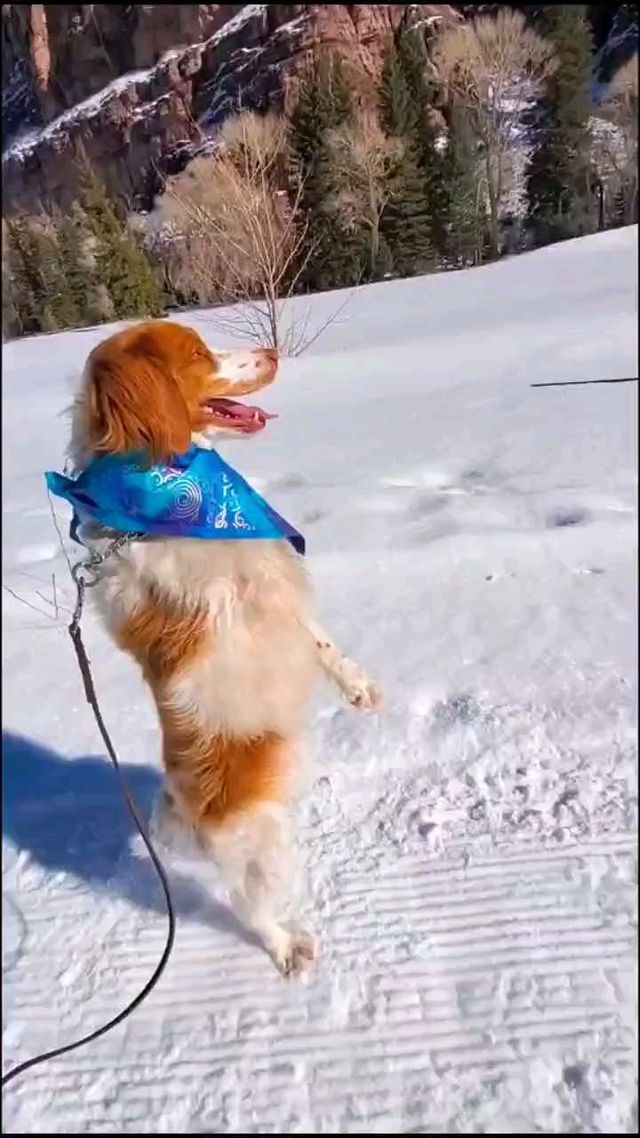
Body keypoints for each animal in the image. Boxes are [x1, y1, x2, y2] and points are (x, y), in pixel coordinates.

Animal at [69, 320, 378, 978]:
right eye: (196, 354)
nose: (272, 351)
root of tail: (183, 814)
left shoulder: (272, 575)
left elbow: (317, 636)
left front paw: (358, 686)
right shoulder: (227, 588)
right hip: (264, 846)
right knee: (251, 909)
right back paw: (289, 949)